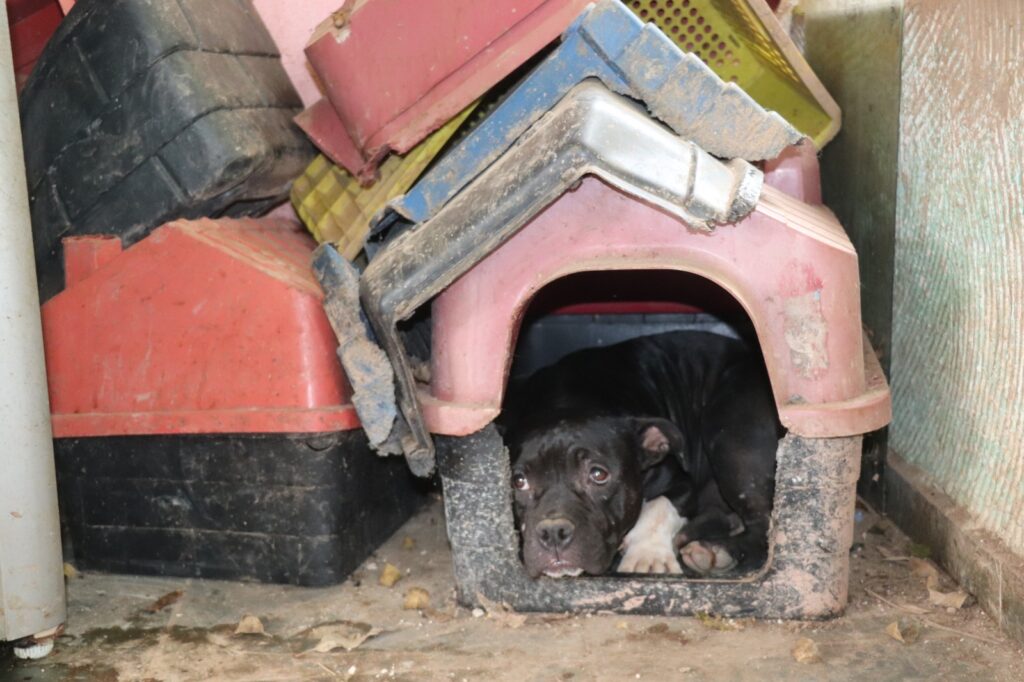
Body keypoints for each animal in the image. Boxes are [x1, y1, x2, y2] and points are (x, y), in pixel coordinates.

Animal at [499, 331, 778, 577]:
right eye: (519, 481)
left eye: (598, 474)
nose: (553, 531)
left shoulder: (680, 482)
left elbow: (658, 507)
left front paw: (648, 555)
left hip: (732, 436)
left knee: (763, 525)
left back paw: (720, 550)